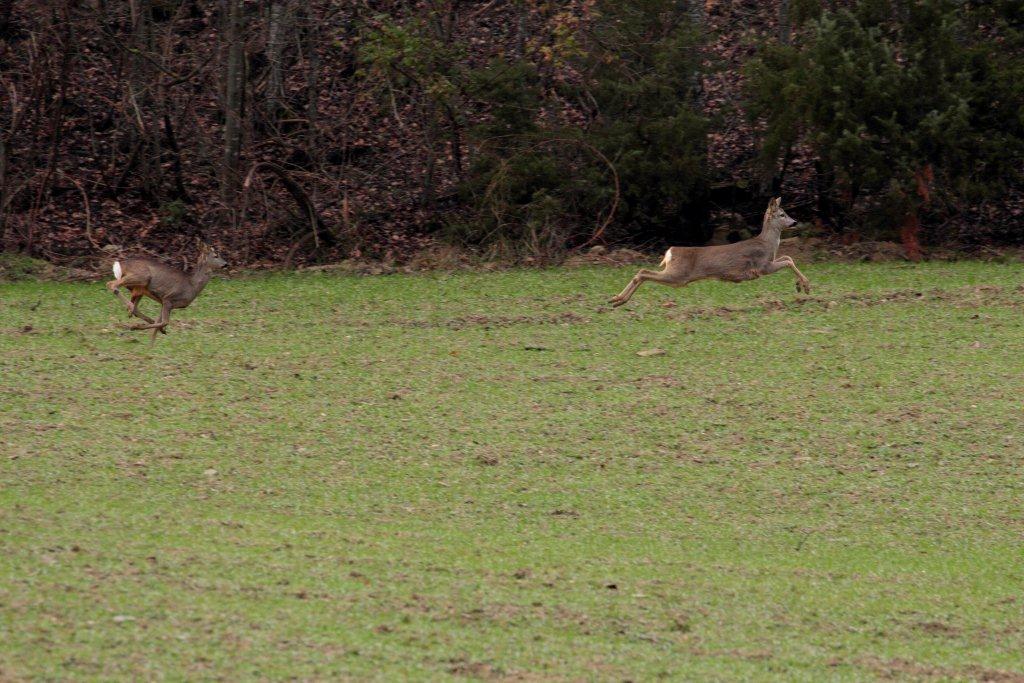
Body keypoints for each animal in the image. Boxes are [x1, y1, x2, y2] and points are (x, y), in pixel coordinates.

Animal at [610, 196, 811, 305]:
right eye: (782, 214)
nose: (794, 222)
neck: (768, 244)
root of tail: (670, 252)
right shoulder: (761, 266)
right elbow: (788, 260)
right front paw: (806, 286)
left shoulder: (768, 263)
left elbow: (787, 256)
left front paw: (800, 285)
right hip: (678, 275)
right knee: (643, 272)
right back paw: (618, 299)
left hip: (675, 273)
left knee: (642, 272)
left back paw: (616, 299)